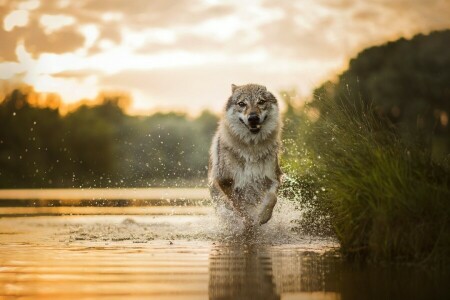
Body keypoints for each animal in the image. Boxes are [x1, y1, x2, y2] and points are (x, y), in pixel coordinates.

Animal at [207, 82, 282, 227]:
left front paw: (263, 217)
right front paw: (249, 221)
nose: (253, 118)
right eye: (242, 104)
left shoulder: (274, 177)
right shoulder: (226, 181)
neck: (251, 149)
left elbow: (272, 198)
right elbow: (239, 206)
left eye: (261, 102)